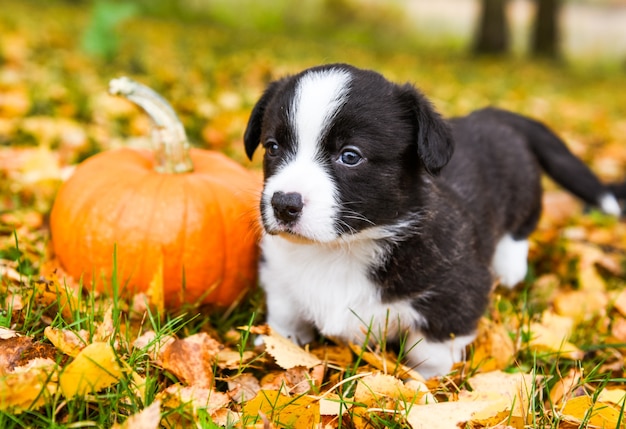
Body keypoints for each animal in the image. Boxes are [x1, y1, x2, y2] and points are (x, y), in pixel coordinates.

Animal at [241, 63, 616, 378]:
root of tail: (493, 115)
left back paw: (510, 267)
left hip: (522, 190)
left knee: (520, 226)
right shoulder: (279, 277)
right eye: (272, 147)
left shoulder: (453, 295)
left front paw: (424, 385)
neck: (340, 249)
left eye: (350, 156)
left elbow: (430, 350)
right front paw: (278, 346)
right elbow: (285, 318)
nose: (283, 204)